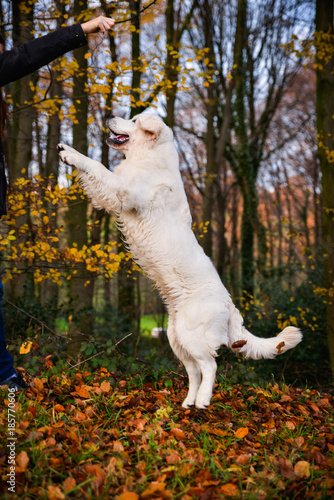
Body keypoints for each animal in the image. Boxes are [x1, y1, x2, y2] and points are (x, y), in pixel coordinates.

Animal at [58, 111, 302, 408]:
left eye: (135, 120)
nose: (109, 116)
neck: (149, 157)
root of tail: (229, 304)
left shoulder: (123, 190)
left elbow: (96, 166)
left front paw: (71, 153)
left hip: (193, 336)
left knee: (210, 366)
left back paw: (203, 400)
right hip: (177, 338)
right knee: (195, 371)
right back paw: (188, 402)